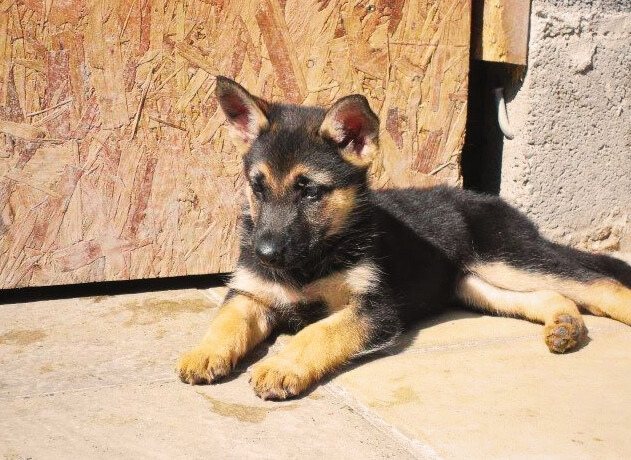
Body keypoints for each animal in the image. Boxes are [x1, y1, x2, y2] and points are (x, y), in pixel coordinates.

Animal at [178, 75, 631, 398]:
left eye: (309, 192)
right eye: (257, 187)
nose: (265, 254)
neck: (317, 256)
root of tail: (496, 202)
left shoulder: (376, 309)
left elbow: (318, 332)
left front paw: (282, 365)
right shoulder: (250, 293)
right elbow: (226, 322)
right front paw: (203, 351)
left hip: (507, 258)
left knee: (598, 284)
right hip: (476, 285)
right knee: (550, 296)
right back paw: (565, 325)